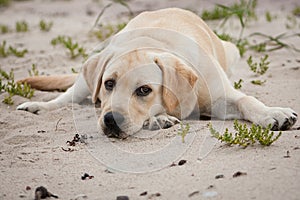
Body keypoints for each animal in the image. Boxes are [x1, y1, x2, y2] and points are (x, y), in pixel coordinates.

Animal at [18, 8, 298, 138]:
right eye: (109, 84)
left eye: (144, 90)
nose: (110, 120)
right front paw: (159, 118)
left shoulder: (222, 97)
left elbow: (248, 100)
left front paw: (273, 113)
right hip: (88, 75)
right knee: (68, 96)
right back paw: (39, 106)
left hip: (232, 50)